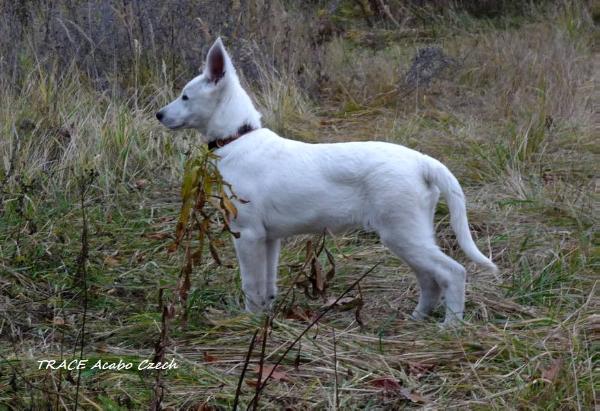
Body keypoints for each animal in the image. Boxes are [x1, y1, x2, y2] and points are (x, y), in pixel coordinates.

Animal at [156, 37, 496, 326]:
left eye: (185, 96)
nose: (159, 115)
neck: (238, 138)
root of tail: (423, 161)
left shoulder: (247, 234)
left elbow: (251, 284)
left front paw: (249, 323)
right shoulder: (269, 239)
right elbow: (267, 284)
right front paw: (266, 319)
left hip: (403, 233)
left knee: (453, 272)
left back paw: (450, 326)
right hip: (410, 234)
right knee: (429, 279)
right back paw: (416, 319)